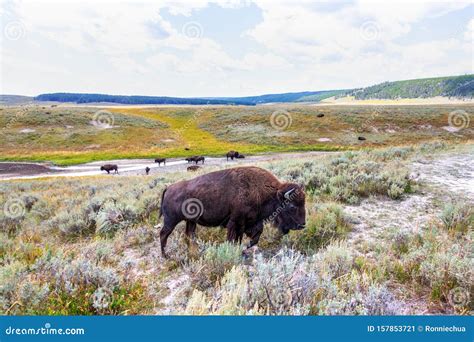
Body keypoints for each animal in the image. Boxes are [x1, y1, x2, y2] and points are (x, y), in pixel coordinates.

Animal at [158, 167, 308, 258]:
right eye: (292, 206)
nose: (302, 225)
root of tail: (169, 188)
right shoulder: (236, 222)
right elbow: (234, 239)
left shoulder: (251, 222)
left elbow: (254, 236)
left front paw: (244, 248)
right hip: (171, 221)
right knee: (163, 234)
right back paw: (166, 256)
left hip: (191, 221)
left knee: (188, 235)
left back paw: (192, 252)